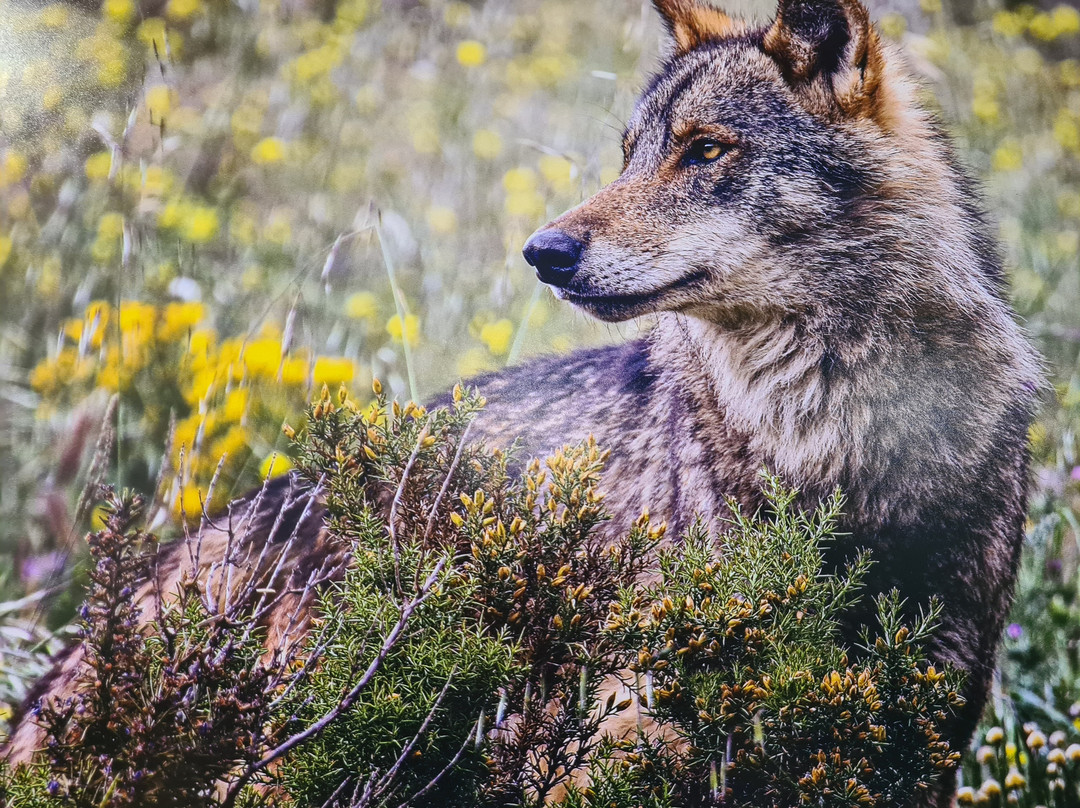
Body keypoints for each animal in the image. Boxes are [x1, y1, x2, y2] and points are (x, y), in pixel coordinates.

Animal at [6, 0, 1040, 803]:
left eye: (705, 150)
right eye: (627, 155)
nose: (544, 252)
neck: (835, 451)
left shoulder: (922, 738)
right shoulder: (623, 743)